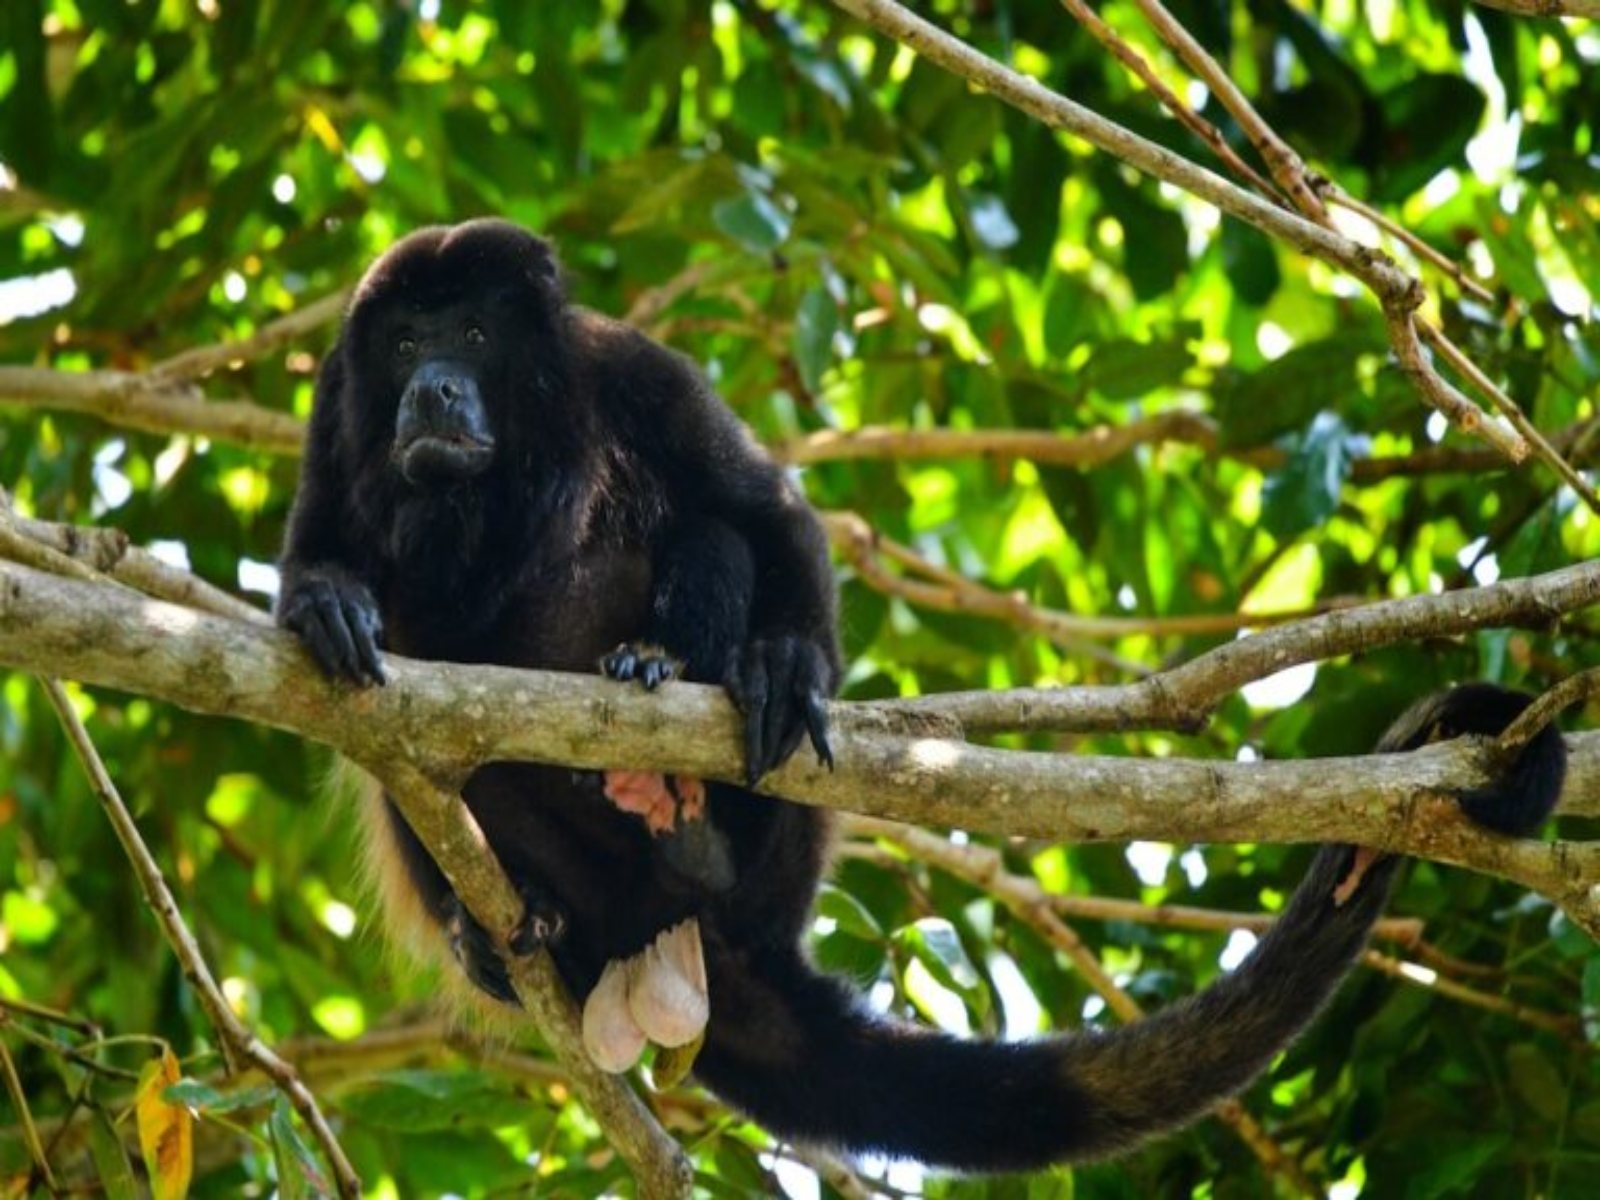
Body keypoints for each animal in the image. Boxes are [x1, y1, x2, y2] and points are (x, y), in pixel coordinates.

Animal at [276, 218, 1568, 1172]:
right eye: (404, 346)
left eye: (475, 333)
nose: (433, 391)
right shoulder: (333, 418)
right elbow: (318, 560)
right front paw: (329, 600)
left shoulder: (631, 368)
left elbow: (764, 515)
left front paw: (782, 665)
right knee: (410, 767)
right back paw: (512, 921)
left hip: (778, 870)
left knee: (710, 545)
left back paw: (677, 768)